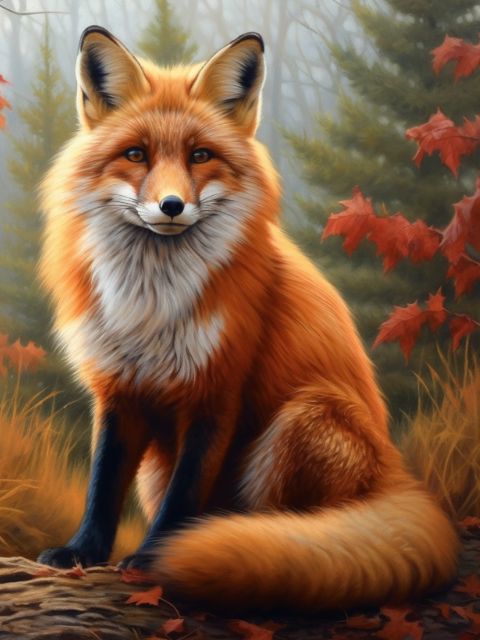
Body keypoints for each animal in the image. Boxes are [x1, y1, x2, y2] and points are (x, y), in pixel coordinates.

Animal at [37, 26, 459, 613]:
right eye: (136, 154)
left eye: (200, 155)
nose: (171, 205)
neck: (151, 308)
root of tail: (400, 476)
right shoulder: (119, 391)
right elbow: (102, 483)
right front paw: (82, 550)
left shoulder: (218, 392)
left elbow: (183, 497)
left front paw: (155, 558)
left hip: (304, 417)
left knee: (293, 532)